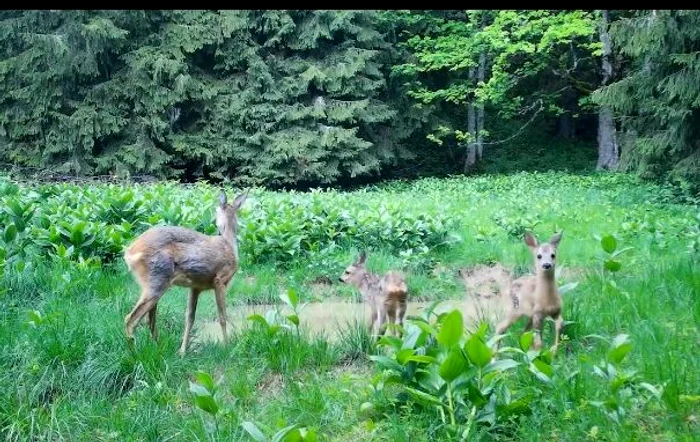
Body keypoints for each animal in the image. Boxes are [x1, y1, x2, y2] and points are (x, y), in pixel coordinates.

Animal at [123, 190, 249, 356]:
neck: (229, 245)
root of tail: (130, 252)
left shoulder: (195, 287)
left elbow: (190, 317)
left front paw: (182, 351)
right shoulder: (220, 280)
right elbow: (222, 316)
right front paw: (227, 347)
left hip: (154, 282)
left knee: (149, 319)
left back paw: (159, 347)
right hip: (157, 278)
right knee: (131, 319)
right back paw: (135, 353)